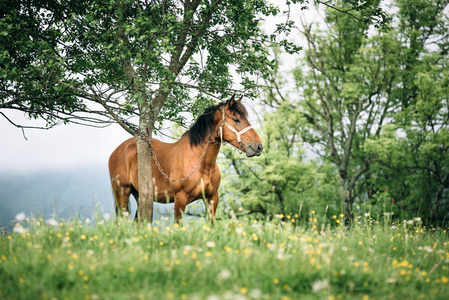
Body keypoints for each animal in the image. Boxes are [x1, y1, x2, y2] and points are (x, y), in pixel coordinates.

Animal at [108, 96, 262, 223]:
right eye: (236, 120)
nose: (258, 146)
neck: (200, 163)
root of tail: (118, 150)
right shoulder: (180, 199)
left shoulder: (212, 198)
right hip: (122, 192)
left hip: (141, 196)